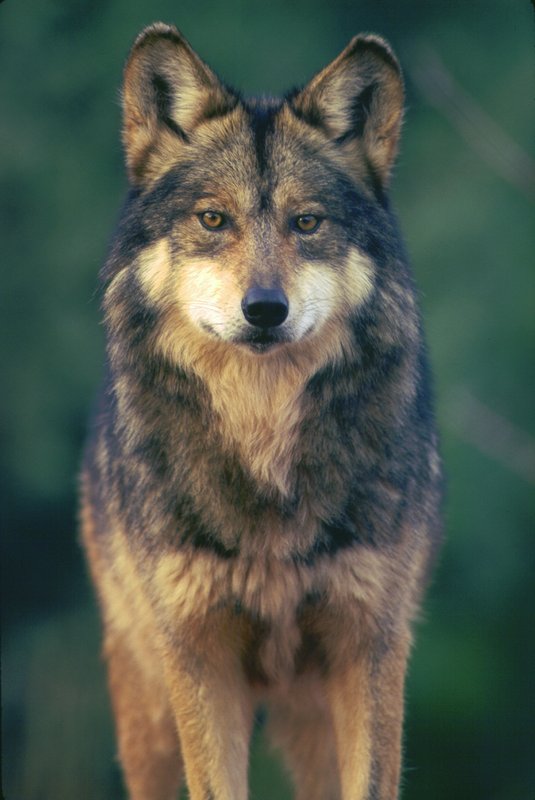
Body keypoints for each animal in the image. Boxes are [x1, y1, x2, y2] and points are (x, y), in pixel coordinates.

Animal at [80, 22, 443, 800]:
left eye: (306, 222)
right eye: (214, 219)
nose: (264, 309)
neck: (264, 442)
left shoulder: (369, 643)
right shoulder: (197, 653)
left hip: (310, 716)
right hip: (145, 701)